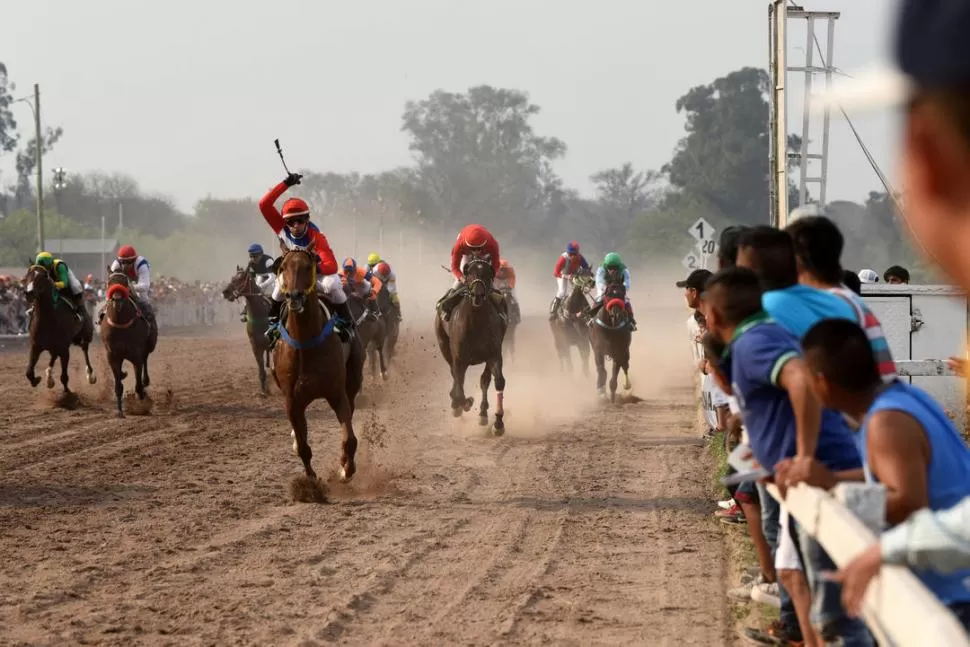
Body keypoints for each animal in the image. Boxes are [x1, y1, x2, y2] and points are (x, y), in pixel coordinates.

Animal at [20, 264, 97, 394]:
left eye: (43, 276)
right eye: (27, 275)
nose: (28, 293)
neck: (48, 319)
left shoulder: (64, 349)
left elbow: (64, 376)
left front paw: (67, 393)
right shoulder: (35, 346)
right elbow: (29, 372)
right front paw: (37, 379)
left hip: (86, 335)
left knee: (85, 349)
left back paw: (90, 375)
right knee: (54, 356)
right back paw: (49, 377)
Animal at [101, 270, 157, 418]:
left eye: (124, 282)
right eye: (109, 282)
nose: (117, 299)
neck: (120, 325)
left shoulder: (136, 354)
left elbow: (138, 384)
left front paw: (142, 404)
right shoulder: (112, 355)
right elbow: (118, 386)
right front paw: (119, 411)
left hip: (150, 344)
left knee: (145, 358)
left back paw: (145, 381)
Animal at [222, 264, 272, 394]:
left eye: (240, 279)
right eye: (232, 278)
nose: (225, 292)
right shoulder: (255, 346)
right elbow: (261, 370)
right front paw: (263, 391)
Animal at [268, 243, 364, 486]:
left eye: (308, 266)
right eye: (283, 267)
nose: (294, 296)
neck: (305, 345)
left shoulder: (337, 393)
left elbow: (349, 438)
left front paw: (346, 468)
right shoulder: (291, 401)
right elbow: (303, 446)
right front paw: (310, 484)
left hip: (353, 379)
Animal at [432, 256, 506, 432]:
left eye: (487, 273)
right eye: (468, 272)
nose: (477, 294)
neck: (475, 323)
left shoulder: (494, 354)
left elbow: (497, 381)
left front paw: (498, 422)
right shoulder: (459, 358)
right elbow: (459, 384)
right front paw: (462, 403)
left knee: (484, 380)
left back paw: (483, 413)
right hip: (443, 345)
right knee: (455, 375)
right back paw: (457, 403)